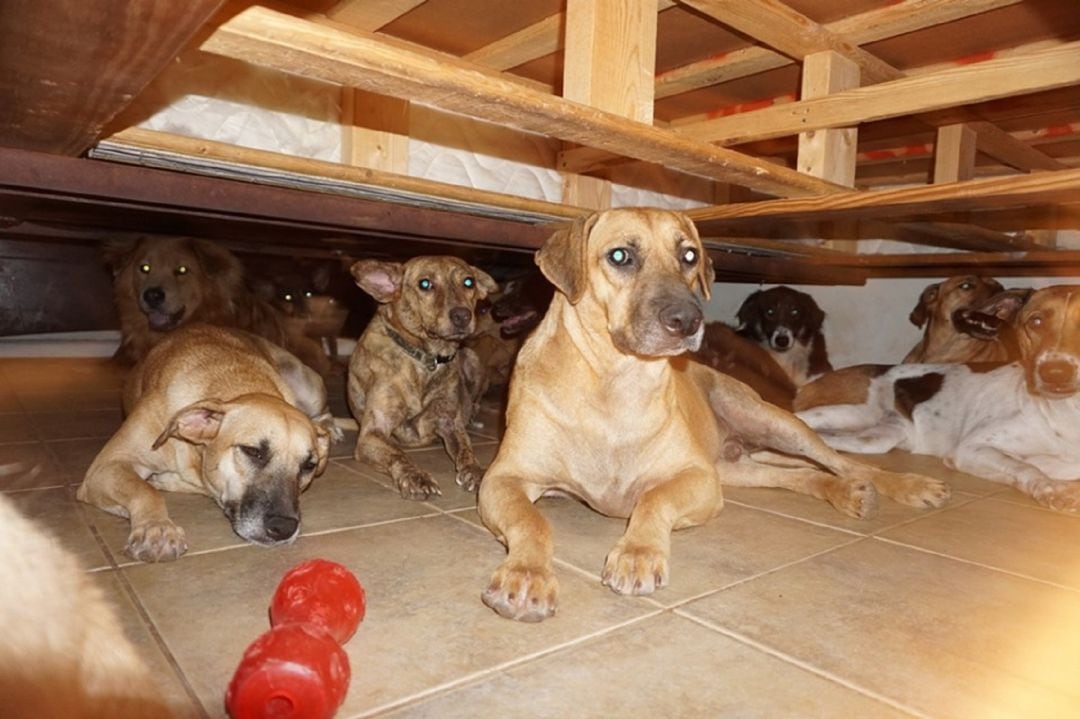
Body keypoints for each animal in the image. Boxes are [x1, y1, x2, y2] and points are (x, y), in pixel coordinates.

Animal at [77, 321, 336, 561]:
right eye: (253, 451)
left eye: (309, 466)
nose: (283, 528)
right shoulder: (106, 466)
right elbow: (145, 490)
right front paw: (157, 527)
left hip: (310, 387)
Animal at [347, 255, 494, 498]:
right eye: (425, 284)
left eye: (469, 282)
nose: (462, 315)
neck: (425, 358)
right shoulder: (373, 432)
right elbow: (398, 454)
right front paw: (415, 476)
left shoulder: (450, 423)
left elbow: (466, 449)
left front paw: (475, 471)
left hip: (473, 359)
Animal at [477, 207, 950, 621]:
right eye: (620, 256)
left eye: (689, 255)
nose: (688, 320)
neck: (611, 384)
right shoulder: (504, 479)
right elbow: (533, 521)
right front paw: (526, 576)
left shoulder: (696, 477)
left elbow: (653, 499)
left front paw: (638, 554)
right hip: (736, 468)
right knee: (799, 475)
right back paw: (846, 493)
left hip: (771, 423)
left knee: (845, 463)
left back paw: (905, 485)